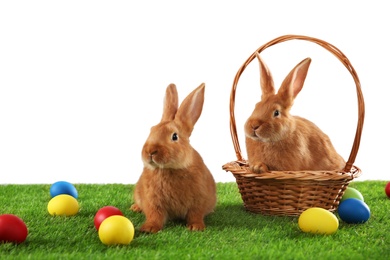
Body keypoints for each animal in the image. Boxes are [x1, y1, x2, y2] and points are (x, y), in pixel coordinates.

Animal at [130, 83, 216, 234]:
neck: (169, 168)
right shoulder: (153, 201)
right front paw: (149, 228)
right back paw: (135, 208)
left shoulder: (199, 200)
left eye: (174, 136)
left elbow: (195, 214)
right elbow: (154, 215)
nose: (150, 151)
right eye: (151, 130)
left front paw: (196, 227)